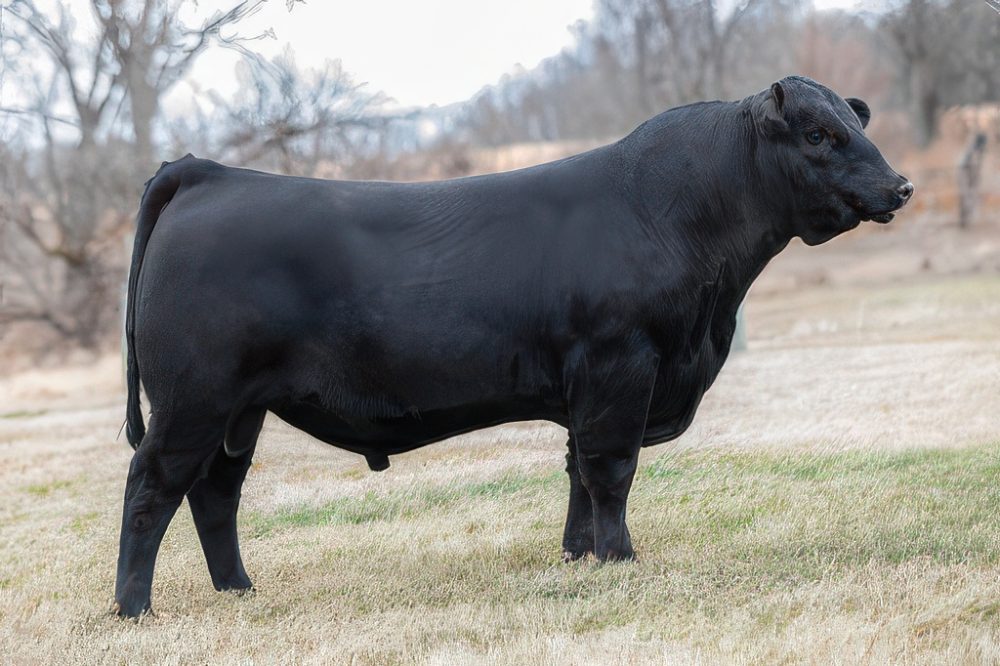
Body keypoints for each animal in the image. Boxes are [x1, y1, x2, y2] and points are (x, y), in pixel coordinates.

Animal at [114, 76, 913, 617]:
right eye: (818, 135)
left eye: (856, 123)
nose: (901, 186)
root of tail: (208, 172)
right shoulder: (621, 366)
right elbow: (610, 469)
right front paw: (621, 559)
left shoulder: (591, 387)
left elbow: (578, 472)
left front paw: (580, 558)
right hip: (193, 399)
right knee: (152, 486)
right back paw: (134, 608)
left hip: (237, 412)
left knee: (216, 493)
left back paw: (239, 591)